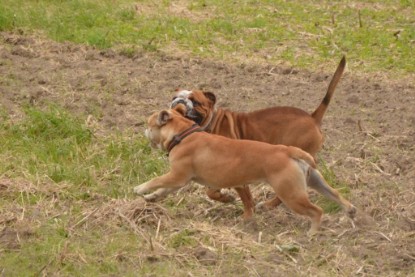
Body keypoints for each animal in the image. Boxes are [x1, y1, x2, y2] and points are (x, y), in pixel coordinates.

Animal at [135, 105, 356, 233]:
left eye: (149, 123)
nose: (142, 129)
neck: (183, 132)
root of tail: (288, 151)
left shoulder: (177, 176)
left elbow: (157, 180)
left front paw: (140, 188)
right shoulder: (178, 180)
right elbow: (163, 190)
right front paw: (151, 197)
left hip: (291, 194)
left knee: (317, 211)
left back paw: (312, 234)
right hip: (314, 181)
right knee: (335, 194)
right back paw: (350, 210)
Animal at [171, 56, 346, 211]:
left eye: (195, 101)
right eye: (174, 97)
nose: (179, 101)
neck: (211, 122)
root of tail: (312, 118)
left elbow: (237, 193)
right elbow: (211, 191)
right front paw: (225, 198)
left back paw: (269, 205)